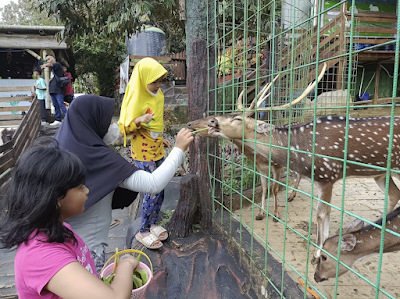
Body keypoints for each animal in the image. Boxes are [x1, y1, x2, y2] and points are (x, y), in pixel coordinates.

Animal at [197, 62, 400, 264]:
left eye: (238, 118)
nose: (211, 120)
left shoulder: (328, 174)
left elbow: (321, 214)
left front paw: (317, 254)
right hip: (381, 173)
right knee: (393, 196)